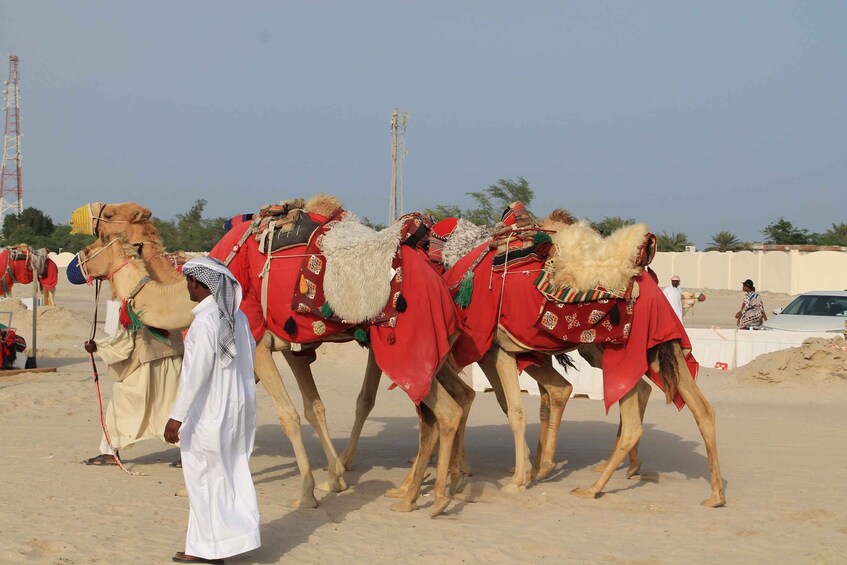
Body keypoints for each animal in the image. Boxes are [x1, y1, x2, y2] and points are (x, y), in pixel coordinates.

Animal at [73, 203, 476, 516]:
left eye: (104, 228)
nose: (79, 260)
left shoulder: (255, 340)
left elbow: (287, 415)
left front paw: (306, 493)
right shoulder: (292, 345)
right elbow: (314, 408)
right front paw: (335, 480)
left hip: (405, 347)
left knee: (443, 411)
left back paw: (429, 498)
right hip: (436, 346)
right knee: (457, 400)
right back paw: (436, 487)